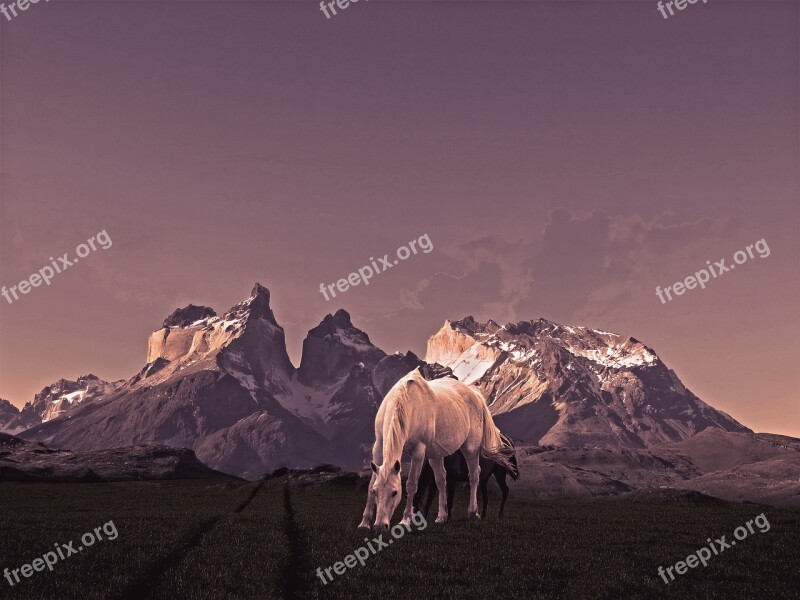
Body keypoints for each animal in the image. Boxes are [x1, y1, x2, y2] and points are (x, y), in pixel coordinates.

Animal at [356, 368, 512, 532]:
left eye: (395, 492)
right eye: (375, 491)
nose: (380, 526)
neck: (406, 404)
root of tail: (475, 395)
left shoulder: (418, 452)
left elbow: (411, 484)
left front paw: (405, 521)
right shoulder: (379, 446)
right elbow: (371, 482)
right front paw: (364, 522)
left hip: (471, 448)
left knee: (474, 475)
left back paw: (473, 512)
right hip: (436, 455)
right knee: (441, 479)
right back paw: (441, 517)